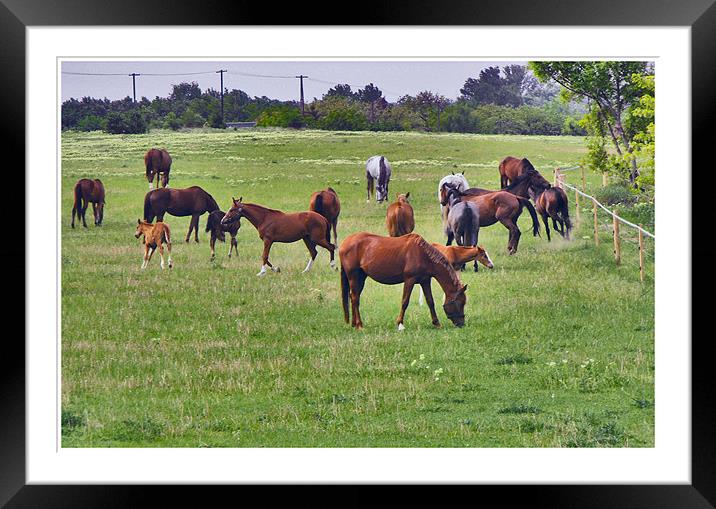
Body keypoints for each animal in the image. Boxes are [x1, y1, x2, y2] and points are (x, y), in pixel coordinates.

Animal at [338, 233, 468, 332]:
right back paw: (359, 325)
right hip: (353, 276)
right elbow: (405, 301)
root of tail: (345, 242)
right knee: (355, 298)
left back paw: (354, 324)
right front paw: (400, 324)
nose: (462, 324)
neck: (423, 254)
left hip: (361, 277)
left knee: (353, 297)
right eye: (460, 303)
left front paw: (436, 323)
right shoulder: (409, 280)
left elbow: (430, 301)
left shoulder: (425, 281)